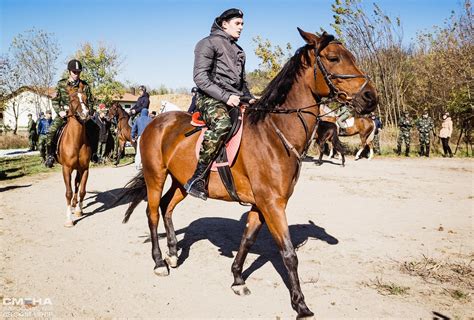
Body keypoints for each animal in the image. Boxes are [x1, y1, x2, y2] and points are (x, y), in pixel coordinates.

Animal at [120, 29, 376, 318]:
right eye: (333, 58)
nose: (371, 97)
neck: (275, 133)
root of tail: (156, 122)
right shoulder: (273, 204)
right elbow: (288, 254)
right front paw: (300, 304)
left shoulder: (261, 204)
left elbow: (248, 240)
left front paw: (237, 279)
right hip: (156, 176)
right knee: (152, 213)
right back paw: (159, 262)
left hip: (182, 183)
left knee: (166, 207)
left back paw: (173, 253)